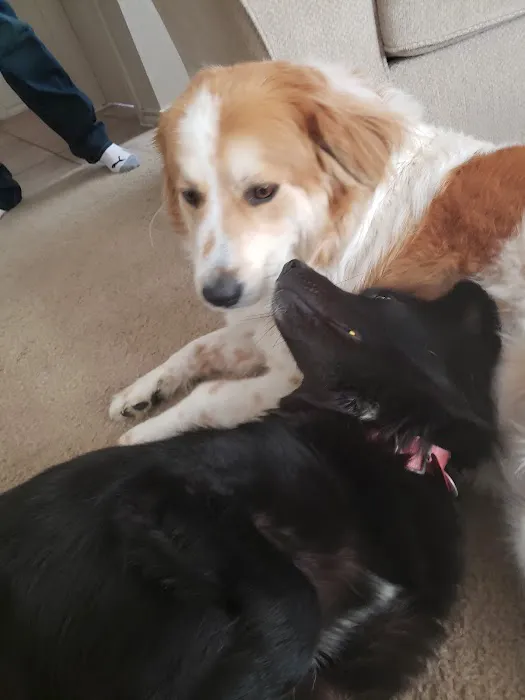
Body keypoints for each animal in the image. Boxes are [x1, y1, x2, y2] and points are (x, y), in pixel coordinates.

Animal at [109, 60, 525, 577]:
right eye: (191, 196)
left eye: (262, 192)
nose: (217, 295)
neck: (337, 224)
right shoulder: (265, 326)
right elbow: (199, 347)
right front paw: (141, 393)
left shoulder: (297, 374)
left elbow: (208, 396)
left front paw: (131, 441)